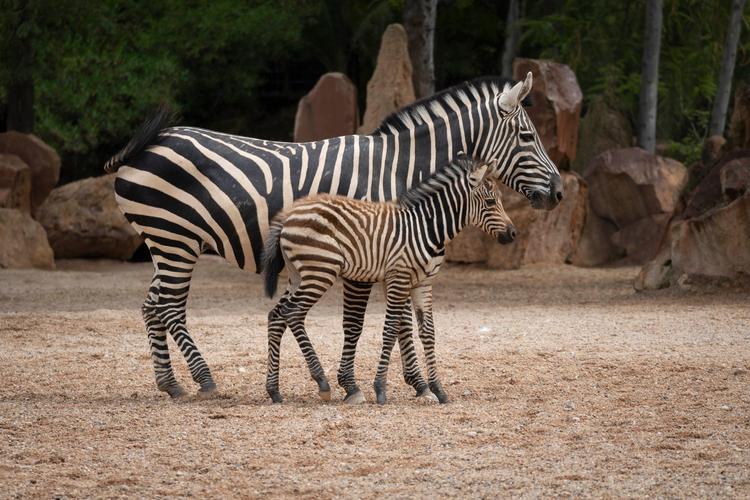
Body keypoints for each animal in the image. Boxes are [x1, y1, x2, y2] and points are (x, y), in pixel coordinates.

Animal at [261, 155, 516, 404]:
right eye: (490, 202)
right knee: (293, 314)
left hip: (298, 275)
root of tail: (289, 213)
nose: (513, 234)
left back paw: (274, 390)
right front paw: (381, 388)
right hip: (320, 271)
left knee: (276, 315)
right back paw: (322, 382)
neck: (426, 228)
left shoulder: (423, 283)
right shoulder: (399, 277)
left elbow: (428, 331)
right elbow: (391, 328)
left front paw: (437, 389)